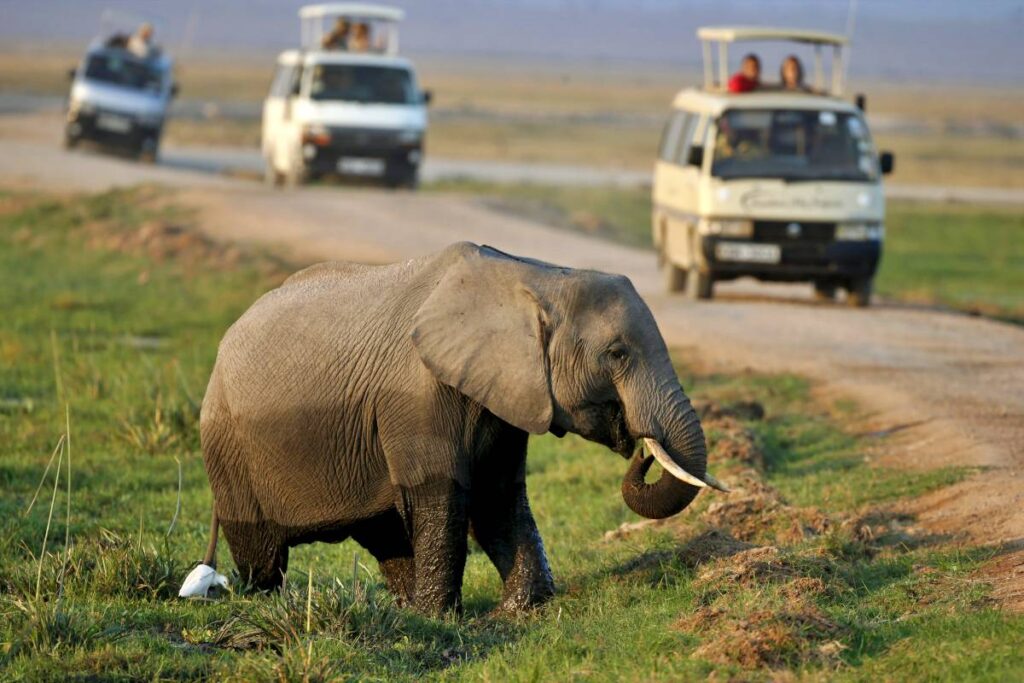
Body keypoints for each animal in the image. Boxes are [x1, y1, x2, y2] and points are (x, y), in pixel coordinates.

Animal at [190, 244, 720, 614]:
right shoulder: (417, 395)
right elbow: (442, 496)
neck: (536, 276)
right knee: (261, 552)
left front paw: (522, 609)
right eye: (617, 353)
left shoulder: (505, 395)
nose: (643, 449)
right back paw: (266, 603)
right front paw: (442, 618)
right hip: (227, 444)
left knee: (384, 533)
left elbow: (498, 497)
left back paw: (403, 611)